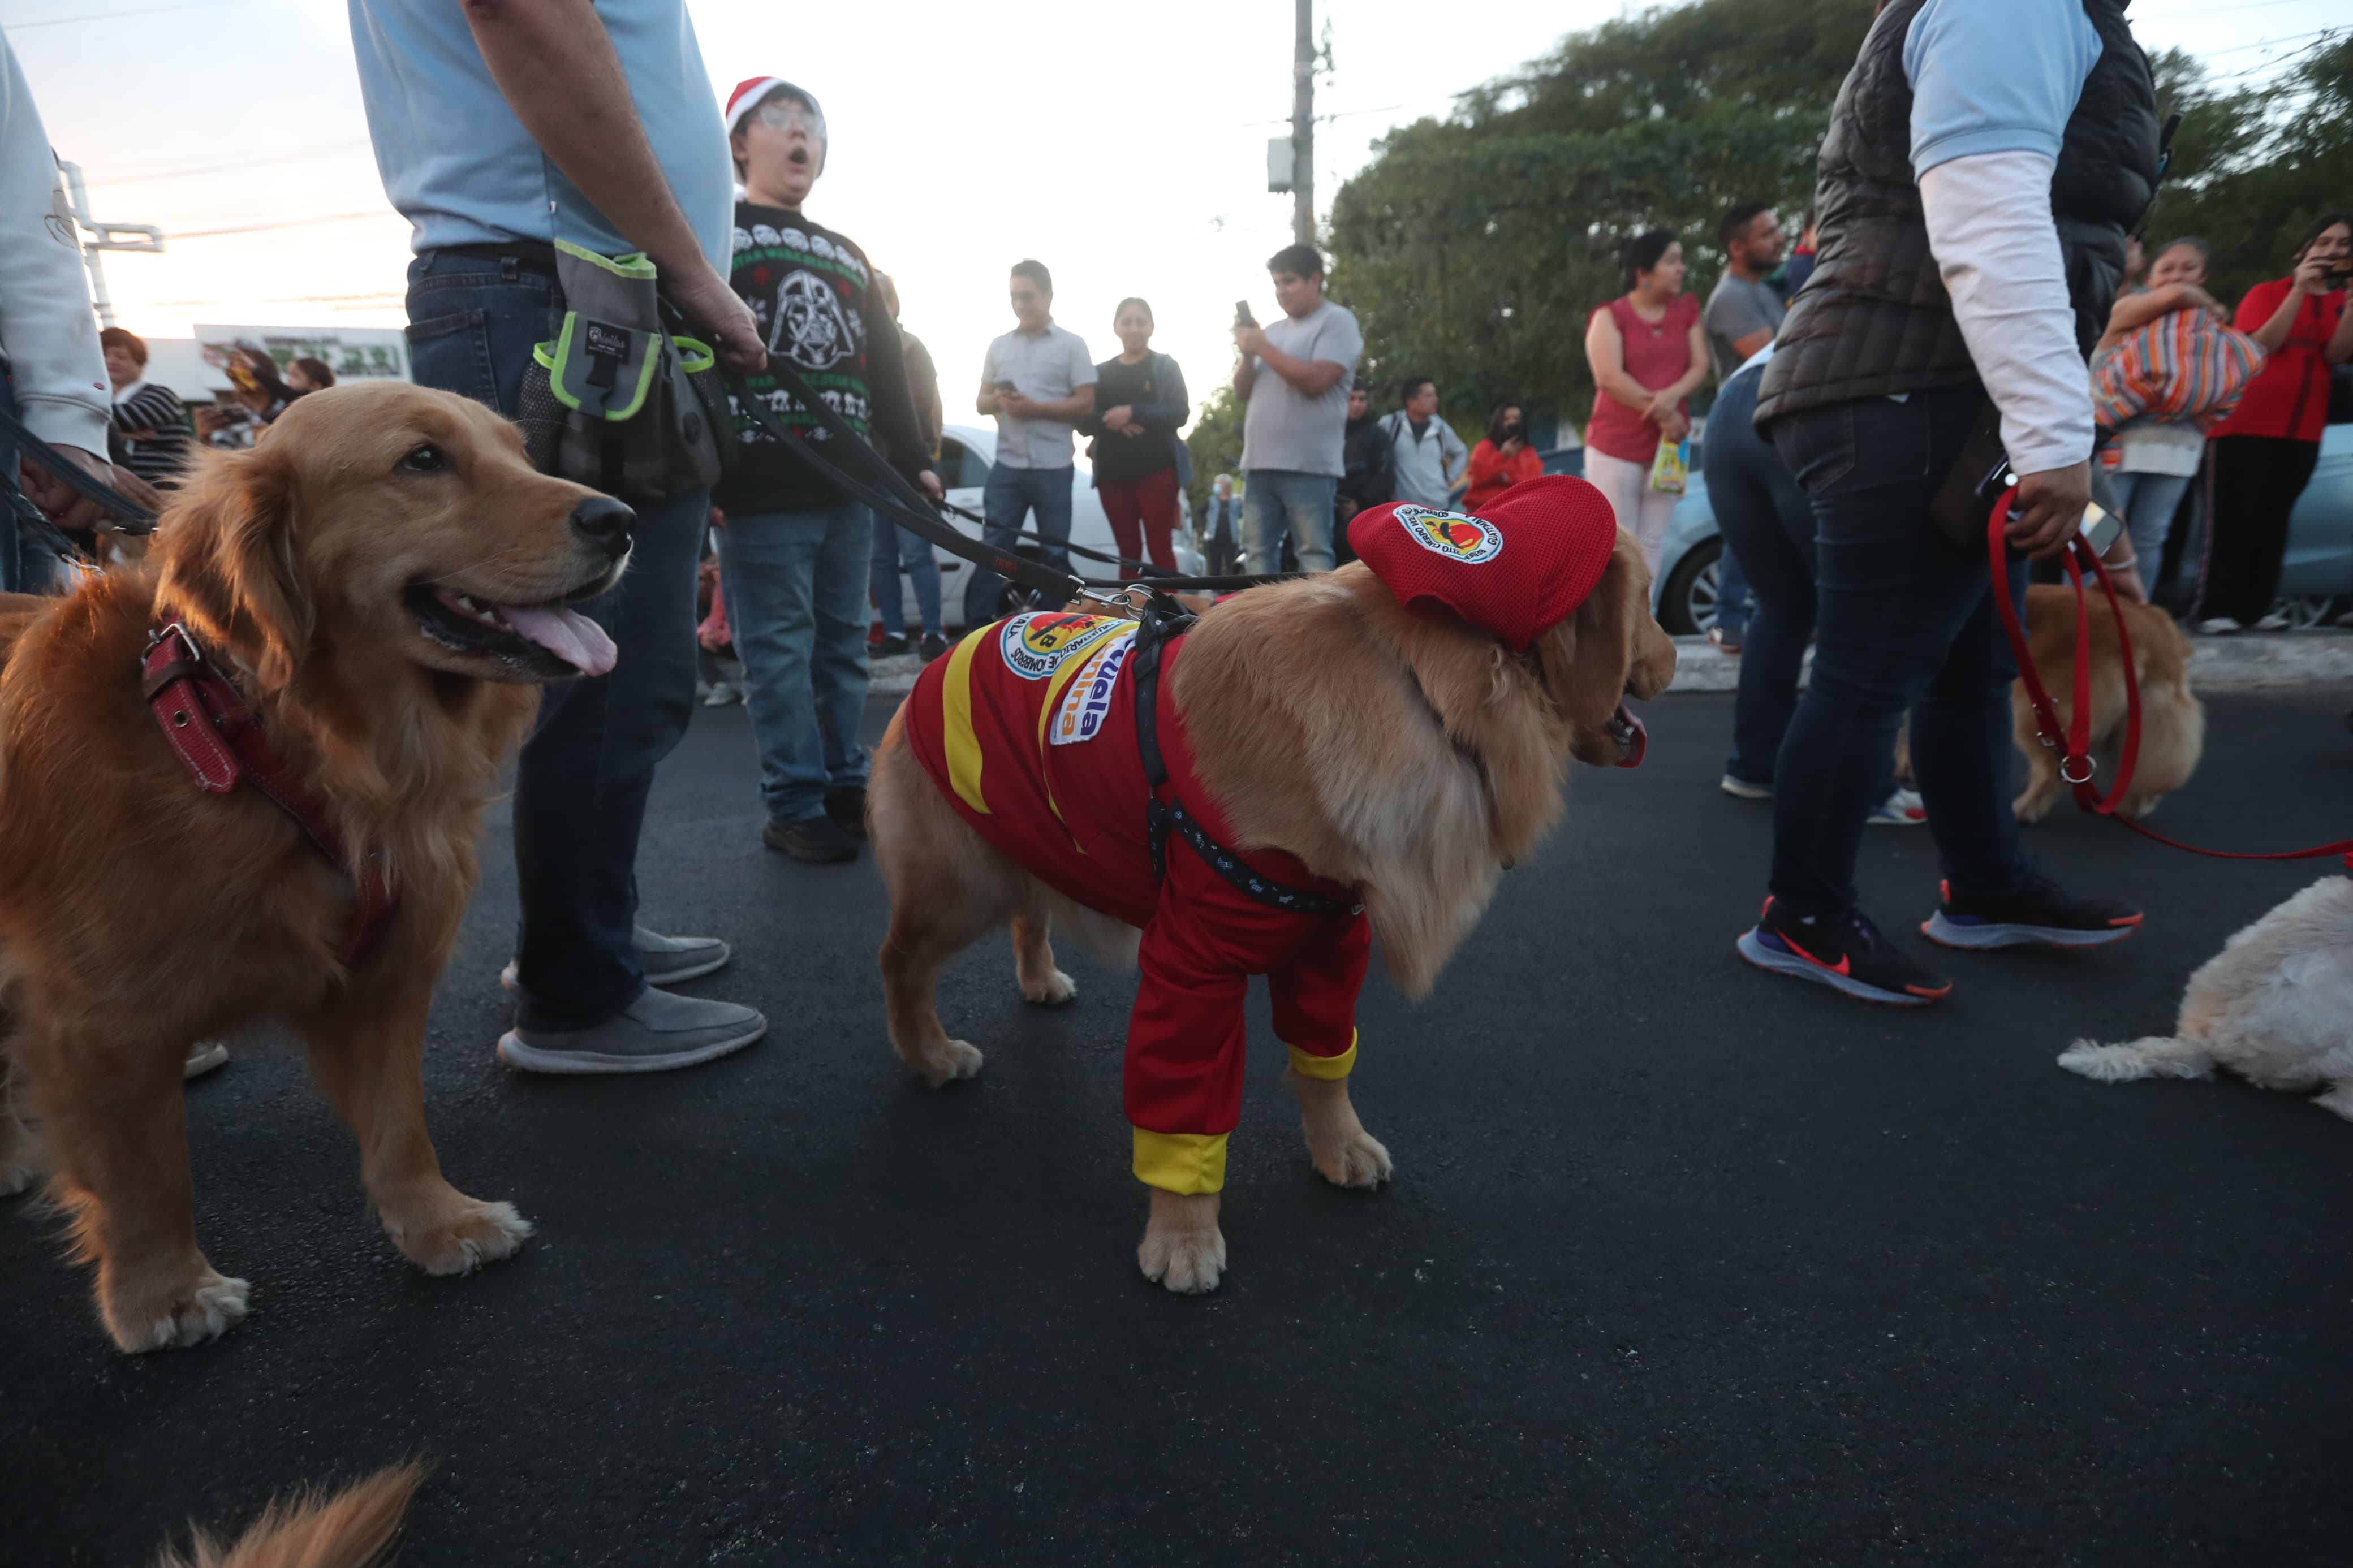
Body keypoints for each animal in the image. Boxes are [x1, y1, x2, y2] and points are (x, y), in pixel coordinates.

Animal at [0, 381, 635, 1354]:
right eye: (423, 460)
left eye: (521, 453)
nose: (623, 519)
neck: (252, 739)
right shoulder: (96, 1023)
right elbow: (144, 1172)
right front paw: (162, 1292)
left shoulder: (386, 974)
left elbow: (399, 1124)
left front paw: (437, 1221)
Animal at [865, 533, 1675, 1297]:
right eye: (1644, 602)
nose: (1670, 655)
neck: (1417, 684)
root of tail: (956, 648)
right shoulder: (1192, 965)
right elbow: (1184, 1108)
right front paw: (1183, 1237)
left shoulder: (1329, 940)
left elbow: (1326, 1065)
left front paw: (1339, 1147)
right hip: (960, 884)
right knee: (899, 960)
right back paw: (928, 1054)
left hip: (1033, 833)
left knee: (1027, 913)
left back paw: (1039, 980)